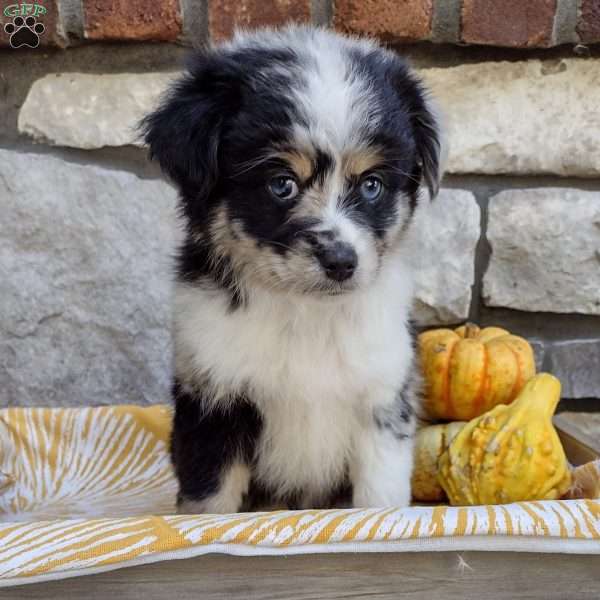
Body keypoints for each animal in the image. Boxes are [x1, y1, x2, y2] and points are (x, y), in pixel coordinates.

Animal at [141, 25, 440, 512]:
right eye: (281, 184)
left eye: (372, 185)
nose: (341, 262)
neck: (305, 313)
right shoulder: (213, 401)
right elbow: (210, 504)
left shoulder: (382, 397)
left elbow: (379, 498)